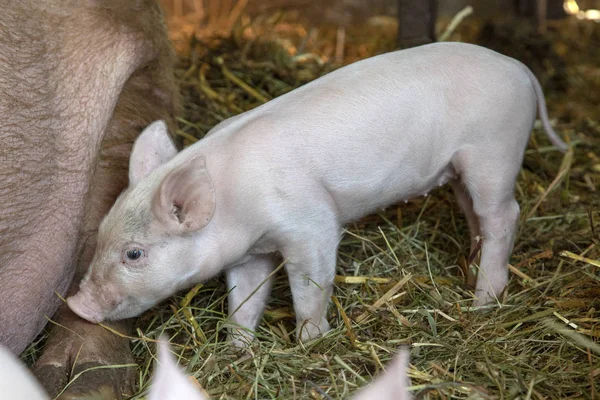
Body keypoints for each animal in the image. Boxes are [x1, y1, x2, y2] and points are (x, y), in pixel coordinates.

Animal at [67, 43, 568, 344]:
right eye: (102, 236)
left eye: (134, 254)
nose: (75, 304)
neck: (237, 206)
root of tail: (519, 68)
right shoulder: (249, 253)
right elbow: (243, 300)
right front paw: (238, 348)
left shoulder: (311, 225)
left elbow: (310, 286)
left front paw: (311, 342)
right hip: (461, 168)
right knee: (474, 214)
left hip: (494, 153)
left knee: (504, 215)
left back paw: (483, 301)